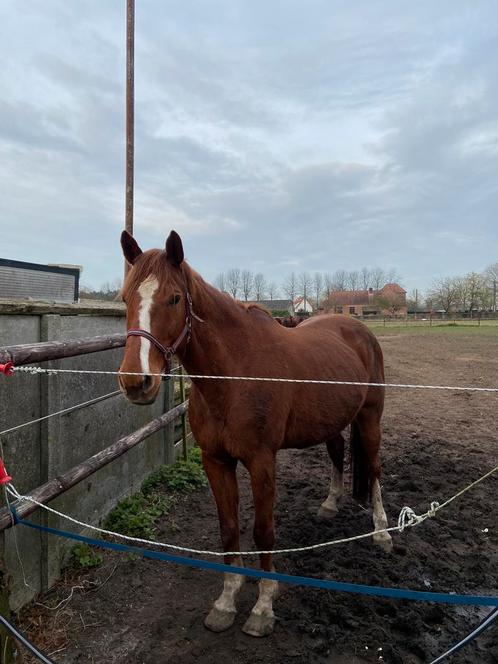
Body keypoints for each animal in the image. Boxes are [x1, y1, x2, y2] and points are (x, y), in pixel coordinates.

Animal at [118, 230, 392, 640]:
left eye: (175, 298)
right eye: (125, 298)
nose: (137, 381)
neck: (235, 374)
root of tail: (360, 332)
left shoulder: (262, 461)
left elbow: (264, 531)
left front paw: (264, 606)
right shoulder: (215, 461)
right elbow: (229, 528)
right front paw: (226, 601)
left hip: (370, 418)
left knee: (373, 467)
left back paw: (382, 531)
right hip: (330, 420)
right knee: (336, 452)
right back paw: (330, 504)